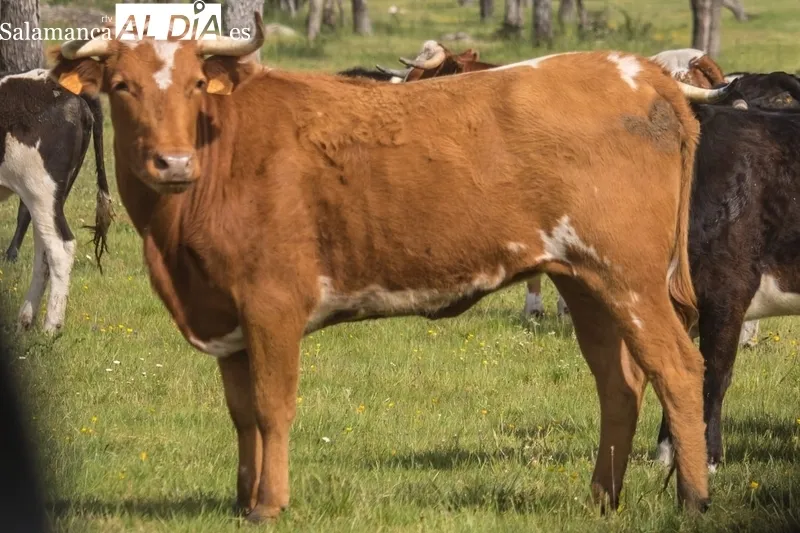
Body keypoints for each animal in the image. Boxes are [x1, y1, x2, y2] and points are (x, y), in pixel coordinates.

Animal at [50, 14, 733, 521]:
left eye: (196, 84)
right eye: (121, 86)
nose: (172, 162)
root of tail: (645, 75)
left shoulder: (272, 306)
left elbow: (273, 406)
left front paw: (270, 504)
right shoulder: (227, 316)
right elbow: (242, 413)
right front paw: (244, 501)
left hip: (631, 282)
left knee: (677, 369)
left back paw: (694, 499)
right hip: (585, 284)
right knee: (619, 385)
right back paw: (599, 500)